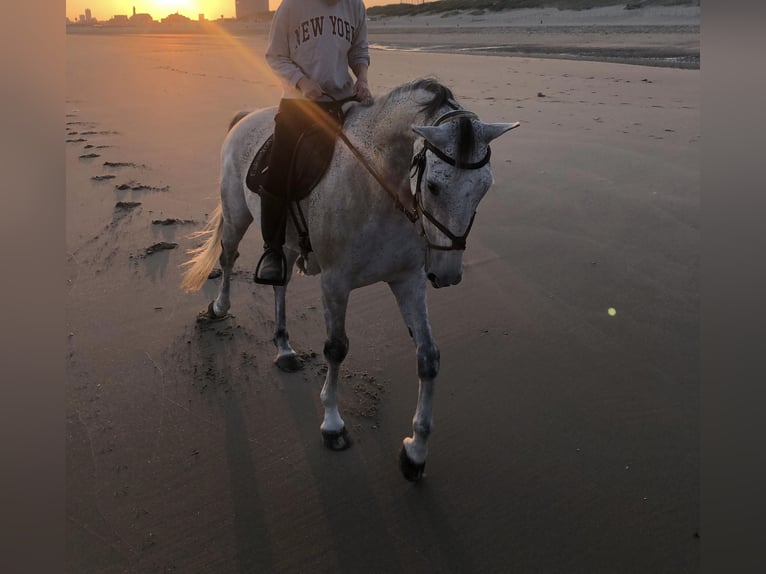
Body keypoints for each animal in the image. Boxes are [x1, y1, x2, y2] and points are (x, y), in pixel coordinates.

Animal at [181, 76, 520, 482]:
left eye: (485, 187)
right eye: (434, 186)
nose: (447, 273)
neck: (379, 186)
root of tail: (247, 117)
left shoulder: (407, 281)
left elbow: (428, 356)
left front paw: (416, 451)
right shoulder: (335, 283)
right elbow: (336, 348)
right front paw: (332, 425)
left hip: (287, 242)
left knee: (279, 285)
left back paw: (284, 349)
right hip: (237, 213)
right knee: (229, 257)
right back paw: (218, 308)